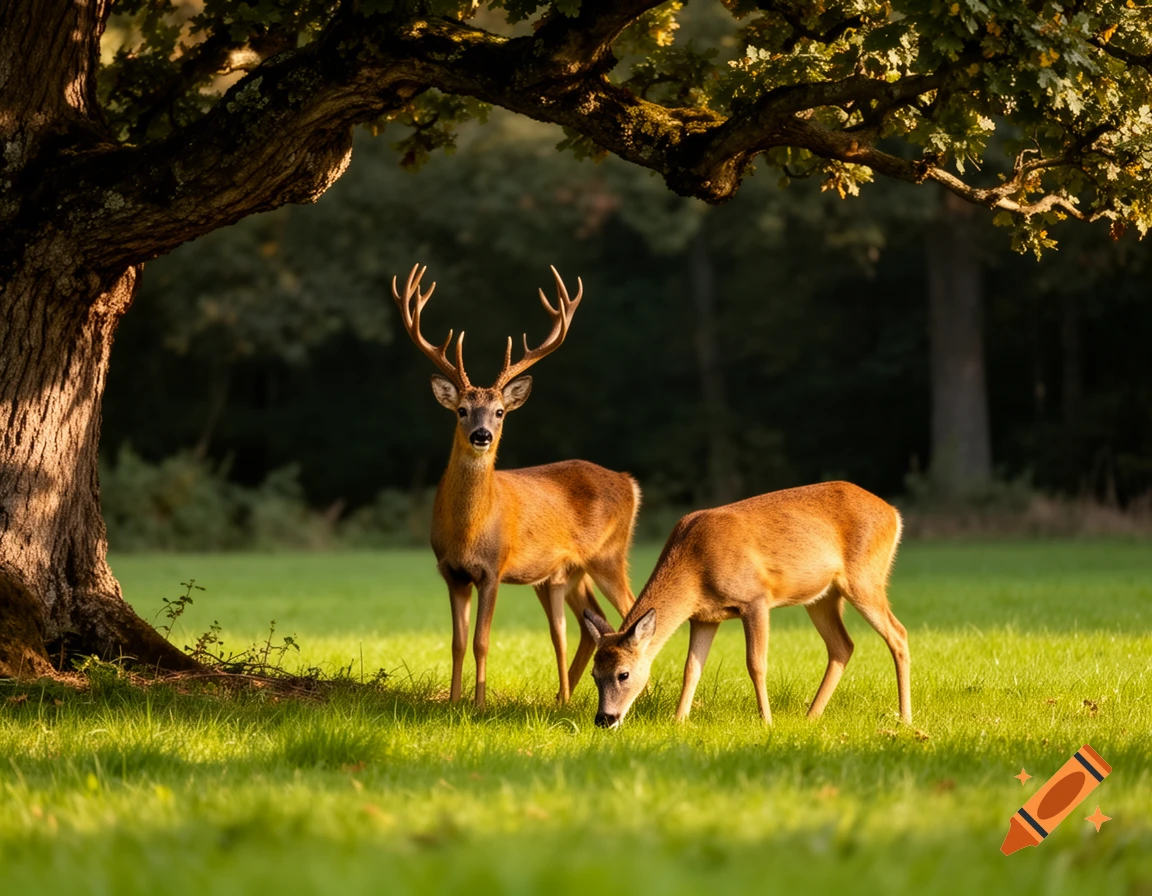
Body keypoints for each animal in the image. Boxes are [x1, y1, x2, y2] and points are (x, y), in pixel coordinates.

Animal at [391, 263, 640, 710]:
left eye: (500, 411)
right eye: (462, 410)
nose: (482, 435)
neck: (469, 531)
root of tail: (629, 482)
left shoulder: (493, 567)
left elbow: (482, 640)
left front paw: (478, 705)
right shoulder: (450, 572)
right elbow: (456, 642)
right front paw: (453, 702)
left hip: (610, 554)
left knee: (633, 608)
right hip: (569, 571)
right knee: (591, 623)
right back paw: (564, 698)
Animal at [582, 481, 911, 728]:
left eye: (623, 674)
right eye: (594, 674)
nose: (604, 719)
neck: (695, 567)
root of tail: (893, 513)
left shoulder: (755, 599)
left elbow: (756, 663)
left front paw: (767, 721)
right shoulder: (704, 616)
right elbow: (692, 668)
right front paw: (679, 721)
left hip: (865, 578)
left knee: (898, 634)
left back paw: (904, 718)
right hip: (822, 596)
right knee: (843, 645)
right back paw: (811, 716)